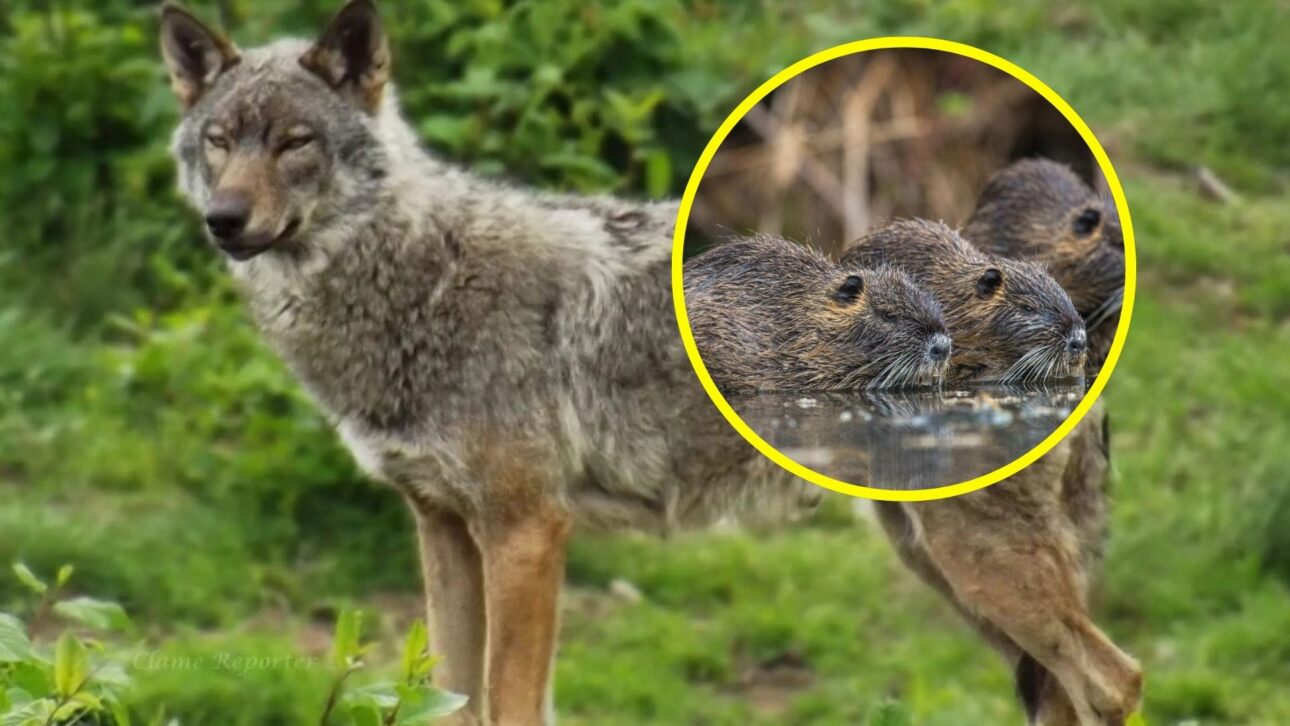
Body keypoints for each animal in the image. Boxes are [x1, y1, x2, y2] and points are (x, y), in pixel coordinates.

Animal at [160, 2, 1139, 724]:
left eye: (294, 142)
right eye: (219, 142)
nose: (224, 221)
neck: (419, 284)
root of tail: (1078, 324)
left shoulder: (526, 529)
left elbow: (511, 707)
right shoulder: (441, 526)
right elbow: (450, 699)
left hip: (977, 565)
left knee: (1116, 679)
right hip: (942, 565)